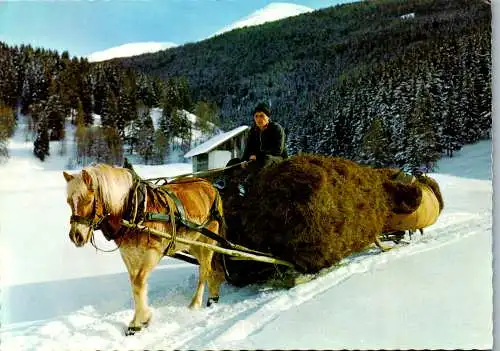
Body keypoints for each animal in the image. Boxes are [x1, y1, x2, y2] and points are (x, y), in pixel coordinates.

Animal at [62, 164, 225, 336]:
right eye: (68, 202)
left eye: (88, 200)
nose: (76, 236)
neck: (135, 209)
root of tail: (210, 186)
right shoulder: (129, 254)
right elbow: (135, 285)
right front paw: (140, 320)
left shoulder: (152, 252)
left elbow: (139, 282)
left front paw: (140, 320)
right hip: (192, 244)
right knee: (209, 266)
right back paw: (213, 293)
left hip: (207, 242)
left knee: (204, 270)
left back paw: (196, 303)